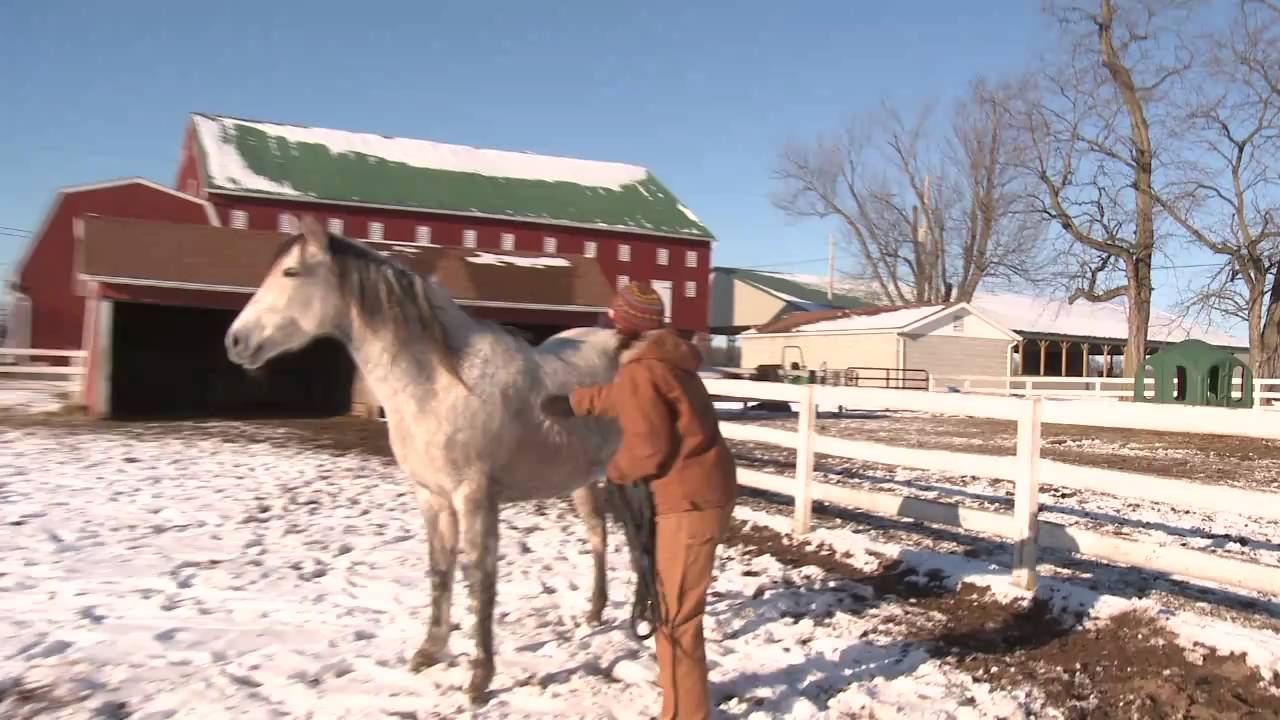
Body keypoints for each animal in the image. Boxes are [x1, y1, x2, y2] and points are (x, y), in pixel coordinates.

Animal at [224, 214, 623, 704]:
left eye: (291, 273)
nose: (236, 341)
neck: (442, 382)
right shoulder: (432, 497)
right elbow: (440, 570)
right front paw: (429, 652)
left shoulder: (475, 497)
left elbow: (480, 578)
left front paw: (480, 679)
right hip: (585, 480)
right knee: (600, 537)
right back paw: (597, 612)